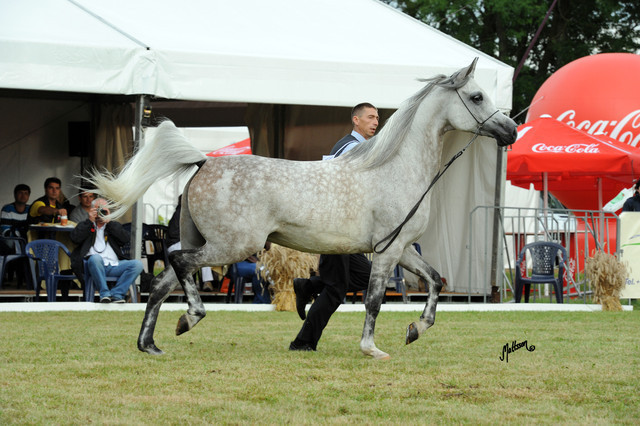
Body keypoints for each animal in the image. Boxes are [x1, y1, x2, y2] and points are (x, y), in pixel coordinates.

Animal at [87, 58, 517, 360]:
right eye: (477, 97)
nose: (510, 131)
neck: (395, 168)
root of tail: (204, 162)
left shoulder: (403, 249)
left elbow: (436, 281)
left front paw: (416, 329)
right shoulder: (386, 253)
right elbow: (375, 300)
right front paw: (372, 348)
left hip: (207, 243)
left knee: (162, 283)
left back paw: (152, 344)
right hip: (231, 246)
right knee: (178, 265)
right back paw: (190, 317)